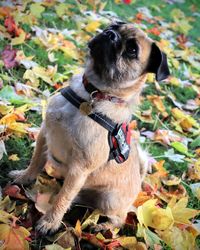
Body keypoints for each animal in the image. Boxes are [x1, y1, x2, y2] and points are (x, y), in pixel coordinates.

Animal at [8, 22, 170, 234]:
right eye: (113, 25)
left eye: (132, 50)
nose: (110, 34)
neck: (93, 93)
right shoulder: (45, 134)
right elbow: (36, 162)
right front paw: (24, 177)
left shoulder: (79, 169)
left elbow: (63, 198)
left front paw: (50, 222)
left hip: (109, 200)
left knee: (119, 219)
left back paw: (102, 227)